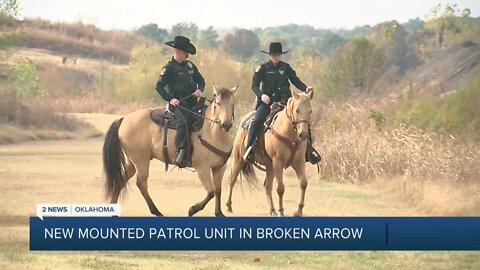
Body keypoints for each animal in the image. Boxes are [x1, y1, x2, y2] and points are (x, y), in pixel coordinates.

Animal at [102, 85, 237, 216]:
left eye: (232, 103)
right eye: (218, 103)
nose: (226, 124)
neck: (212, 133)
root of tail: (124, 119)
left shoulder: (219, 168)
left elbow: (218, 191)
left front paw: (219, 213)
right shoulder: (202, 168)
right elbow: (211, 192)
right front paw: (192, 210)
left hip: (132, 162)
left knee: (120, 180)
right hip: (141, 161)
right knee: (141, 183)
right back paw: (156, 211)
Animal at [228, 87, 316, 216]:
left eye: (310, 111)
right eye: (297, 110)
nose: (303, 135)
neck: (289, 133)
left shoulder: (298, 161)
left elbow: (303, 183)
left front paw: (298, 210)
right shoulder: (278, 162)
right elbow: (280, 188)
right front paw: (281, 211)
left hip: (270, 167)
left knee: (267, 187)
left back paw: (272, 210)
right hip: (238, 159)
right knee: (232, 179)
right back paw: (228, 206)